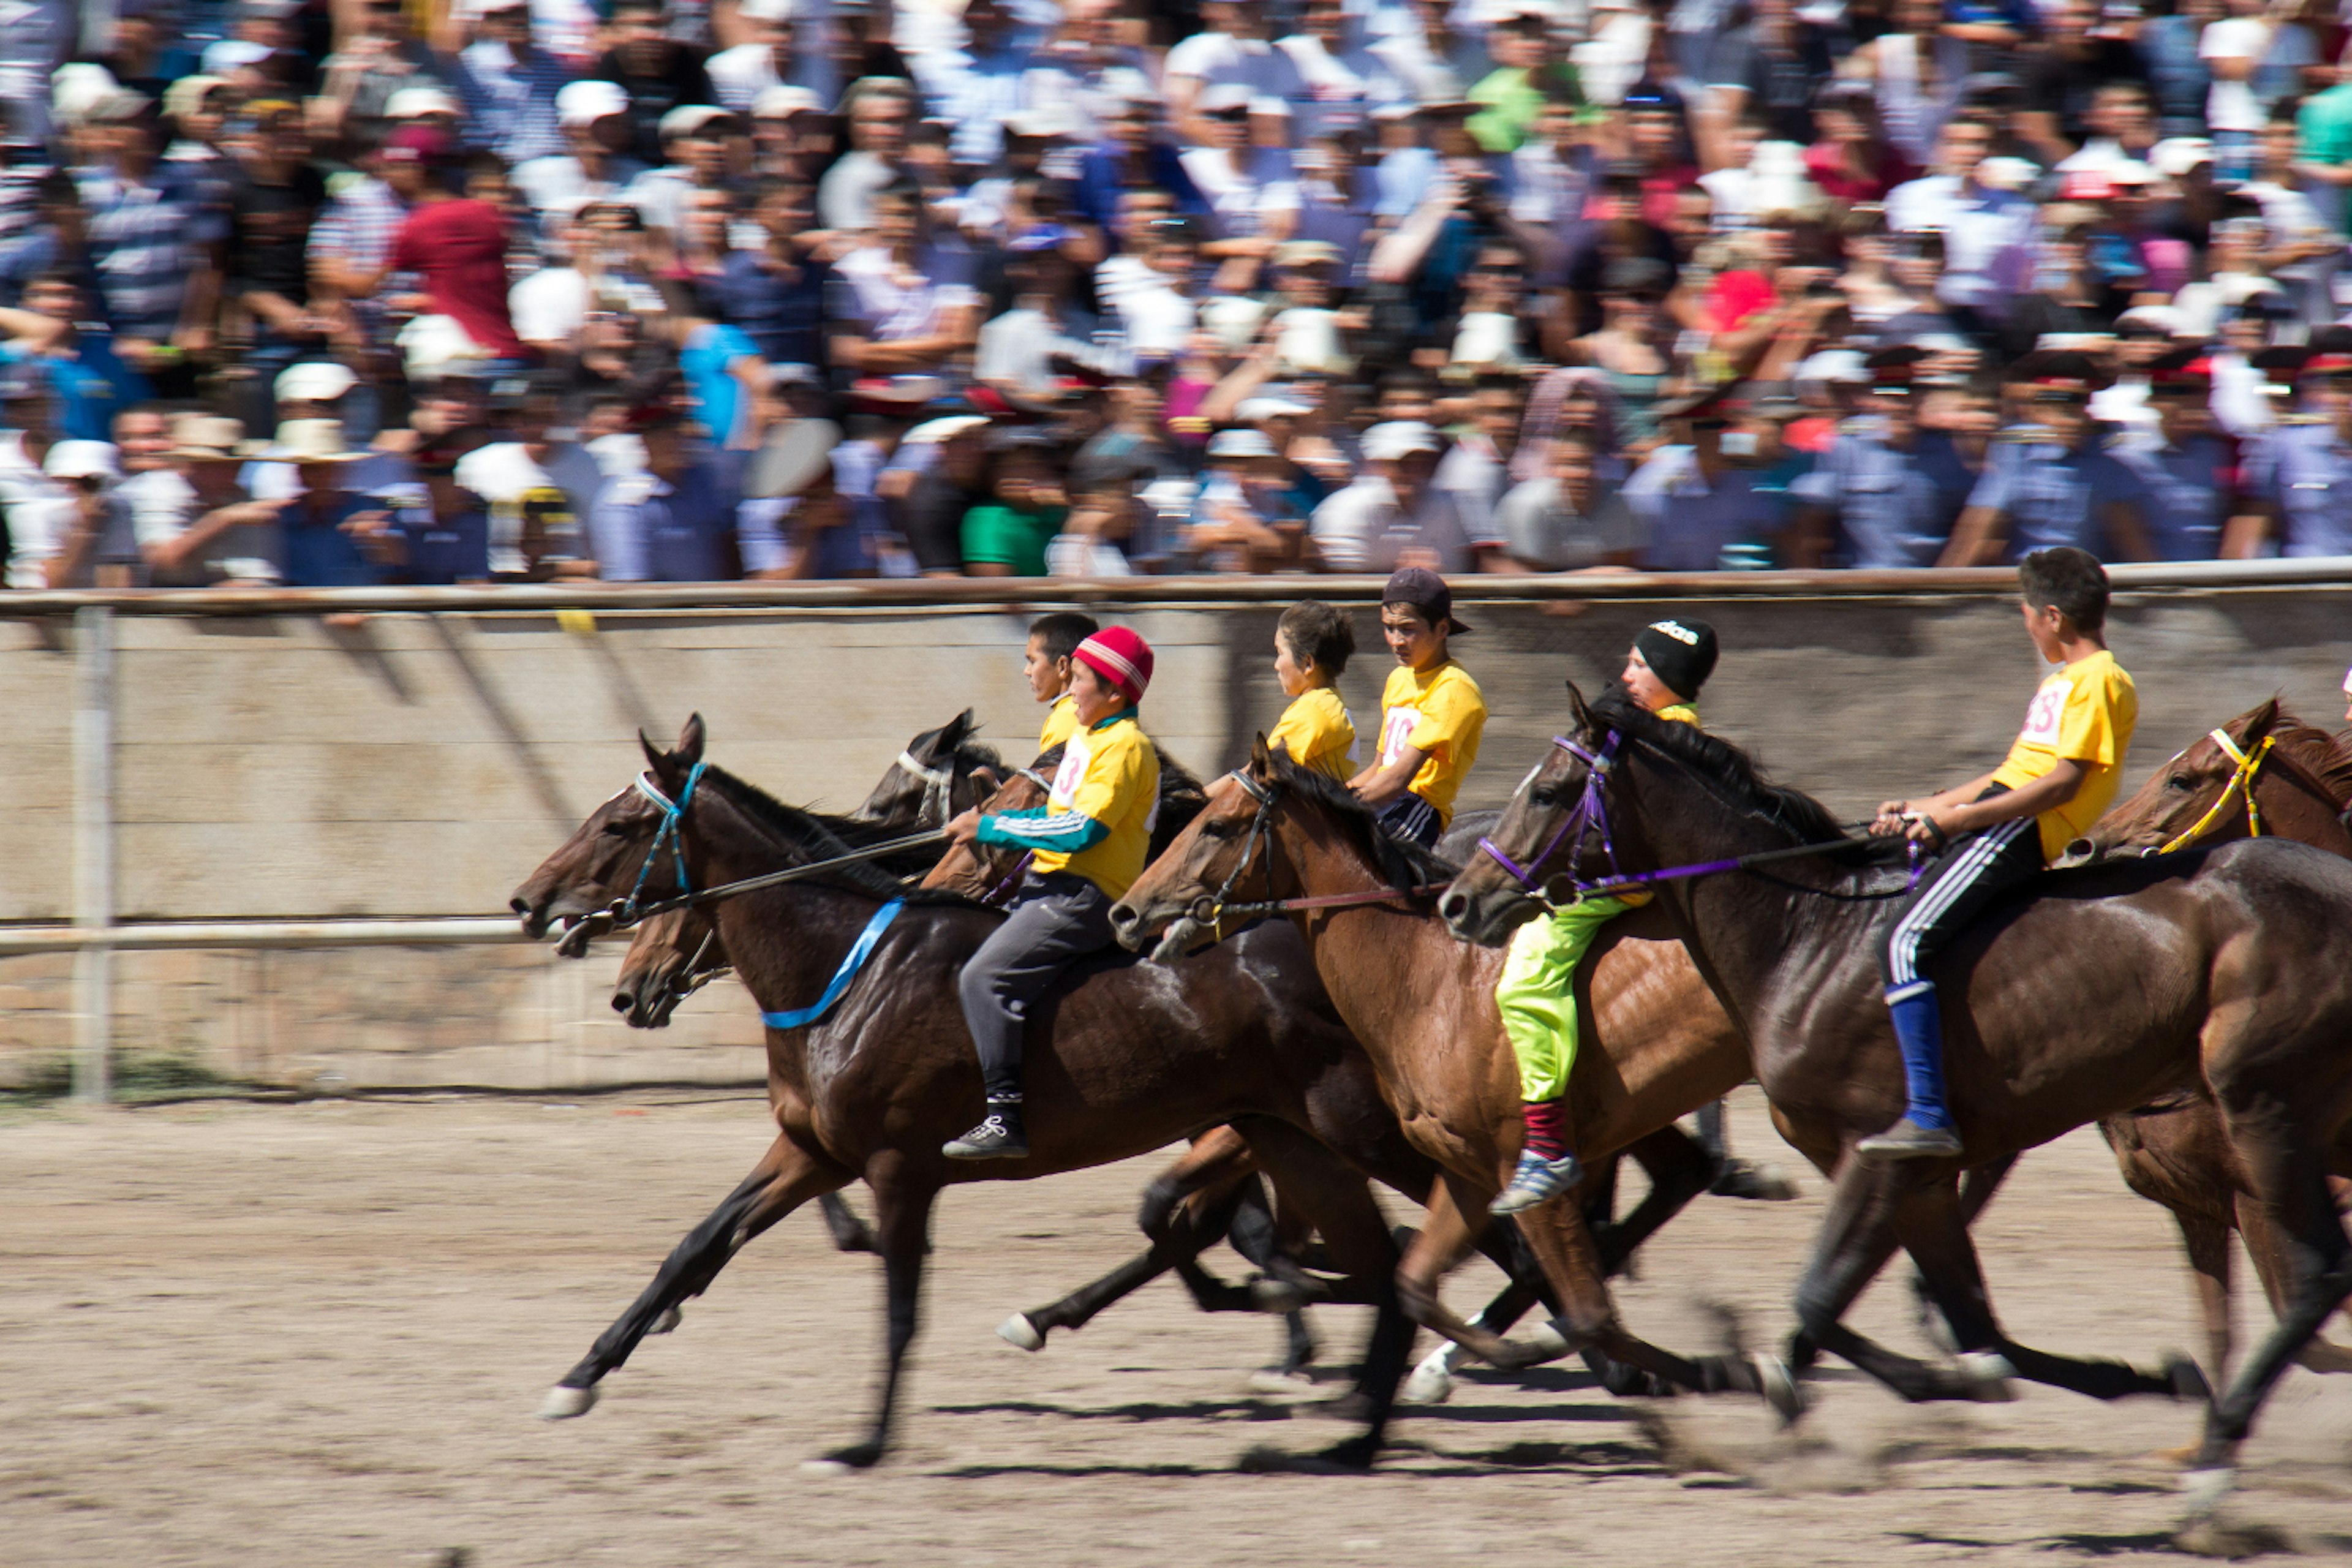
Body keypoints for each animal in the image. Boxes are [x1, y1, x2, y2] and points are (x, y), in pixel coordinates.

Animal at [514, 719, 1439, 1476]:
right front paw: (578, 1378)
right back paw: (1357, 1417)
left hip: (1361, 1125)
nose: (528, 901)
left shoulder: (898, 1167)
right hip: (1293, 1134)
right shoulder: (812, 1151)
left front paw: (865, 1443)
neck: (848, 968)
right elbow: (695, 1247)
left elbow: (898, 1309)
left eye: (619, 825)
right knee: (1379, 1258)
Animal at [1439, 686, 2352, 1504]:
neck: (1808, 938)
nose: (1459, 899)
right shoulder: (1916, 1178)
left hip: (2260, 1105)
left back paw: (2216, 1465)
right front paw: (2127, 1374)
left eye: (1550, 791)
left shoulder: (1878, 1157)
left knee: (2314, 1274)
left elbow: (1818, 1302)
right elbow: (1966, 1323)